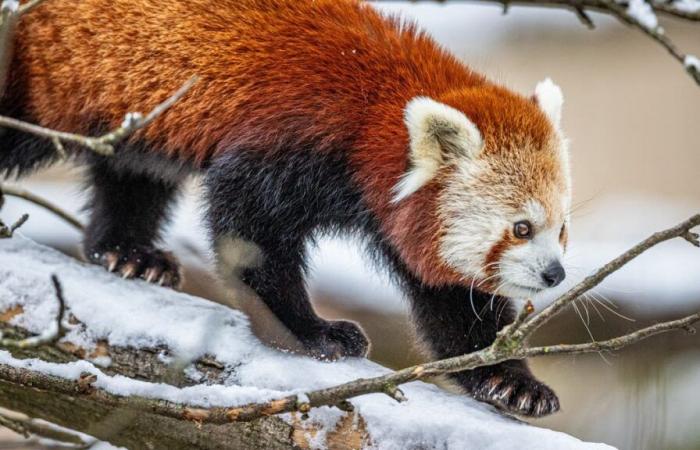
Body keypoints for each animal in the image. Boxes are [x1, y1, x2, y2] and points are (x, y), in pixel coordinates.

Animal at [0, 0, 568, 418]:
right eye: (520, 228)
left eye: (561, 230)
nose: (556, 275)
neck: (375, 112)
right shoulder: (295, 136)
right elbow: (249, 229)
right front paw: (307, 329)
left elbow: (452, 304)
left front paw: (509, 380)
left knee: (132, 175)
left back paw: (129, 252)